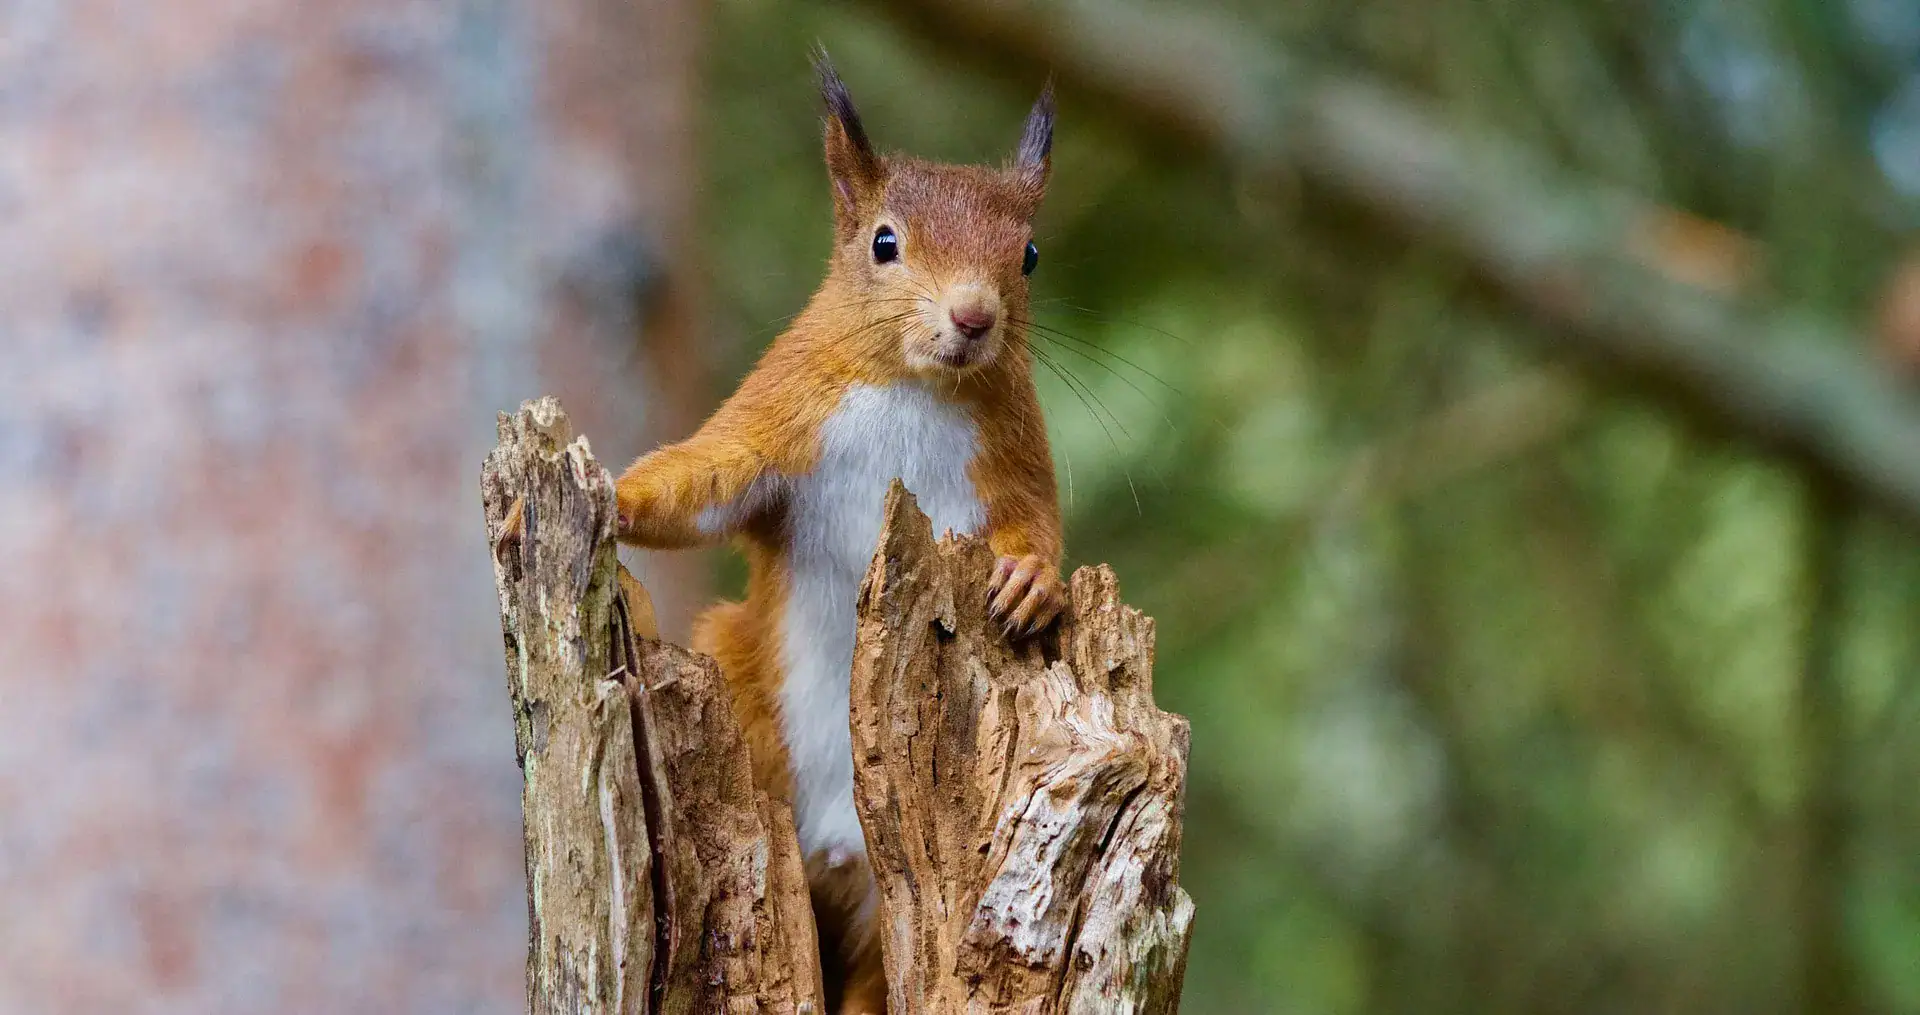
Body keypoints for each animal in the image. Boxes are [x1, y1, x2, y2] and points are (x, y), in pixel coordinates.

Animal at [507, 54, 1064, 1014]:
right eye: (883, 242)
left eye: (1027, 255)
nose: (973, 317)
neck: (914, 386)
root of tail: (837, 851)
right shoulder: (780, 416)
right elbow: (701, 481)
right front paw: (605, 495)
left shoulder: (1016, 453)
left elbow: (1040, 522)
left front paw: (1034, 580)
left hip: (884, 908)